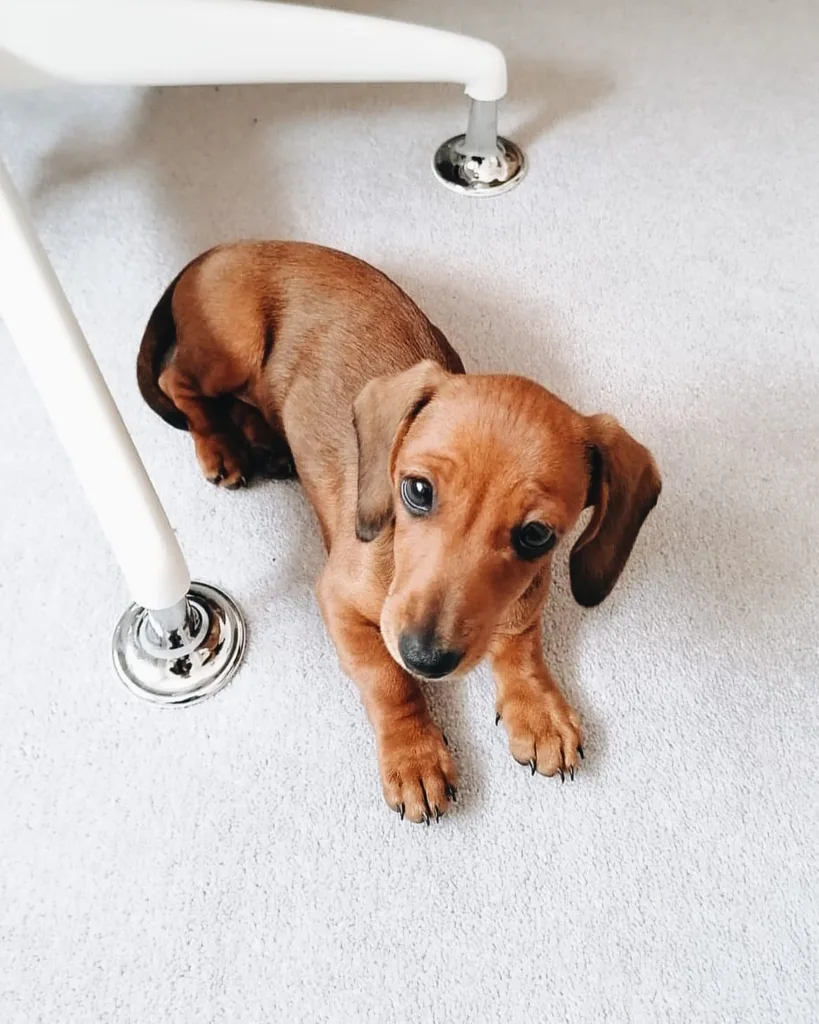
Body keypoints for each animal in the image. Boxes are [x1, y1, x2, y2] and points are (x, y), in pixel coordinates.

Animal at [134, 239, 659, 823]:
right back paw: (220, 445)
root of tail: (220, 248)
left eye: (537, 536)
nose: (426, 658)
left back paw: (265, 442)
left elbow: (521, 648)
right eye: (418, 491)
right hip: (236, 346)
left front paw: (538, 709)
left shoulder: (525, 598)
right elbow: (388, 679)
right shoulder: (338, 601)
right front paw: (415, 755)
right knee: (178, 384)